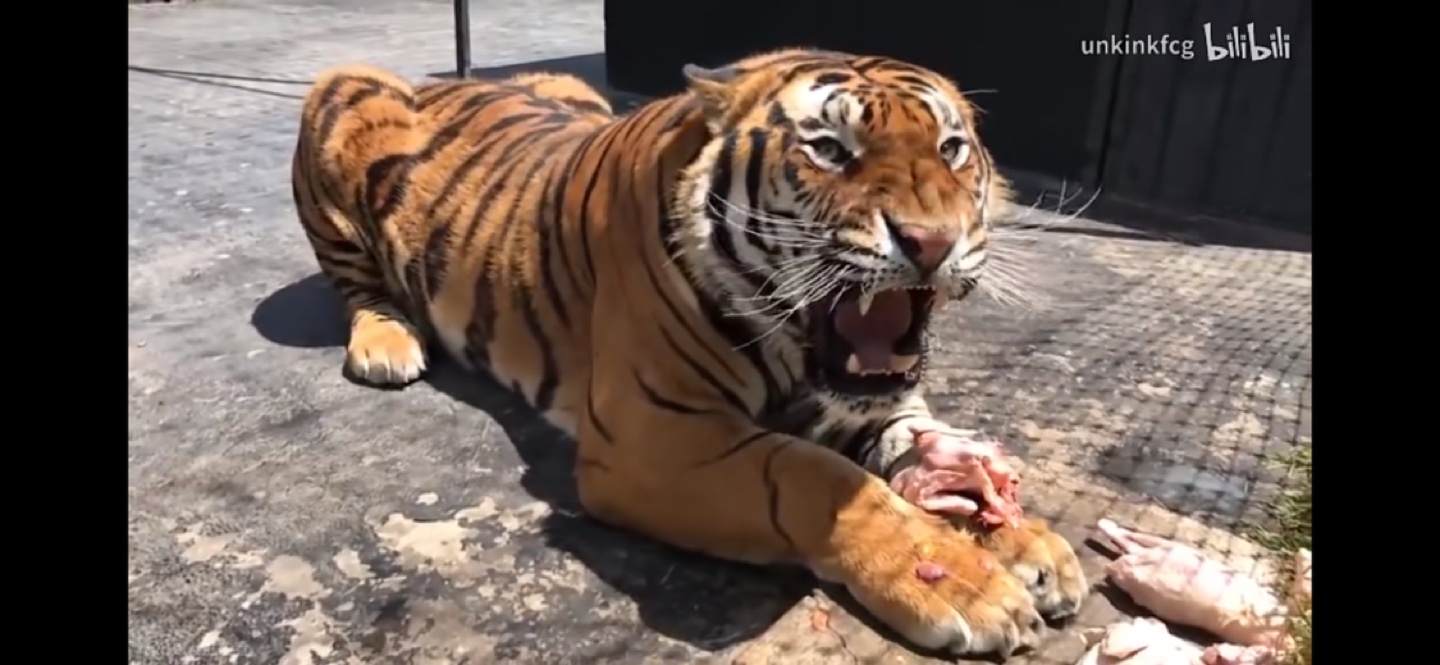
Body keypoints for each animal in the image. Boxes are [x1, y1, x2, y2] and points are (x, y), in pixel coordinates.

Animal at [290, 48, 1087, 658]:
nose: (931, 242)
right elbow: (817, 477)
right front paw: (965, 585)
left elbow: (914, 447)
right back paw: (388, 343)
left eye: (952, 150)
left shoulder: (859, 401)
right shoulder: (653, 436)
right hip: (339, 92)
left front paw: (1029, 543)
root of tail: (442, 80)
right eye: (830, 150)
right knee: (356, 283)